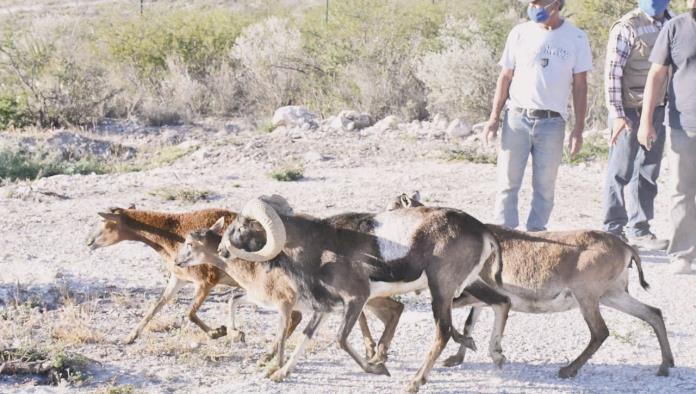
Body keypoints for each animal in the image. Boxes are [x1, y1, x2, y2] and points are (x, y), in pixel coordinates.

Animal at [85, 208, 239, 344]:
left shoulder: (205, 281)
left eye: (103, 220)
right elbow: (157, 305)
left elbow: (189, 313)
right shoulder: (179, 278)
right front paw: (130, 337)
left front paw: (218, 332)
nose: (88, 241)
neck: (171, 237)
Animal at [173, 217, 402, 374]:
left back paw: (377, 357)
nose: (177, 261)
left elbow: (283, 332)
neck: (253, 269)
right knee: (394, 309)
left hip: (364, 298)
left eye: (190, 244)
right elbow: (233, 300)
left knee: (389, 309)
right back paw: (378, 355)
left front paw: (275, 365)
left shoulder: (287, 303)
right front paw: (236, 334)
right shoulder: (260, 298)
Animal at [218, 195, 500, 392]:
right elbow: (306, 336)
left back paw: (414, 383)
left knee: (443, 331)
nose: (222, 250)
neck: (319, 247)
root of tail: (484, 232)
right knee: (500, 303)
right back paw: (491, 353)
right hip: (471, 285)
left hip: (441, 291)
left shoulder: (356, 299)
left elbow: (341, 340)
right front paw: (280, 374)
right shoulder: (325, 307)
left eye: (241, 227)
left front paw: (378, 368)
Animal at [392, 194, 676, 378]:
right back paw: (665, 365)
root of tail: (626, 248)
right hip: (612, 293)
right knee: (652, 313)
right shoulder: (479, 297)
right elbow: (470, 322)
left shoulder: (470, 292)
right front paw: (456, 358)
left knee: (600, 332)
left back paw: (568, 369)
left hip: (587, 295)